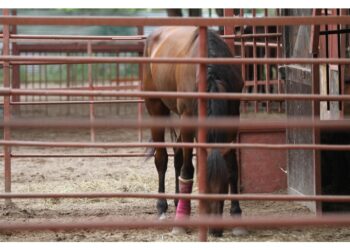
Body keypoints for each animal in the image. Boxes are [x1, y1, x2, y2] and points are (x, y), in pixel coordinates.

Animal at [142, 26, 243, 237]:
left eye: (223, 186)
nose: (215, 230)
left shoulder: (232, 119)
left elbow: (232, 168)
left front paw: (237, 215)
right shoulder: (188, 118)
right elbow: (188, 169)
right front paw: (181, 221)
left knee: (178, 153)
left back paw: (177, 200)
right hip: (155, 107)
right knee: (162, 158)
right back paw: (162, 207)